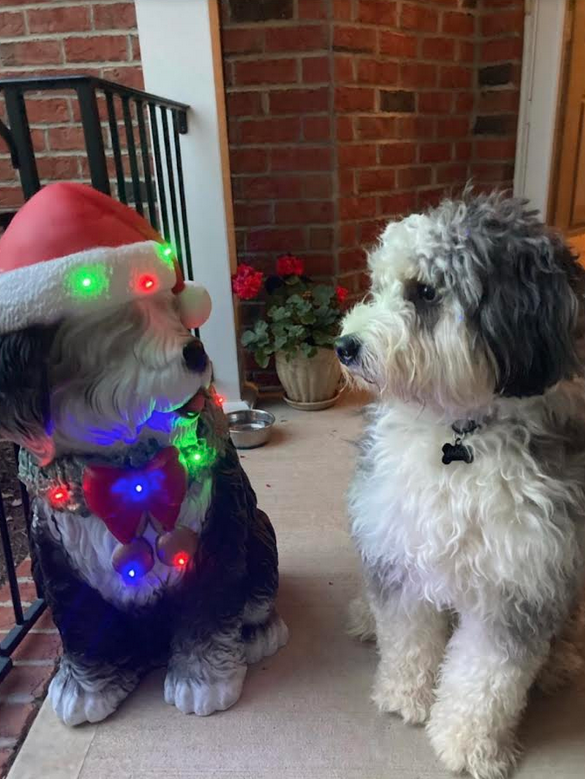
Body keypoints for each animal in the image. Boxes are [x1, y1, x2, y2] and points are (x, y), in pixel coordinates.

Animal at [336, 192, 585, 778]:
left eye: (425, 291)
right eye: (378, 284)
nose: (344, 346)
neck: (459, 437)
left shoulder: (522, 580)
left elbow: (488, 676)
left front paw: (469, 744)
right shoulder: (401, 550)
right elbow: (407, 636)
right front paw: (405, 696)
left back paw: (559, 662)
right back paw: (363, 619)